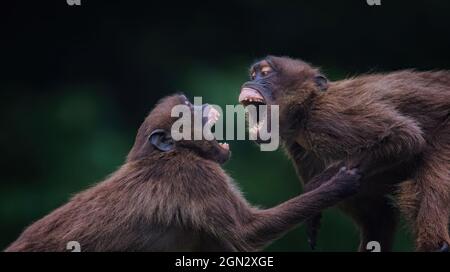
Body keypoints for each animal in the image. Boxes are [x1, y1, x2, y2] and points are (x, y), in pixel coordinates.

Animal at [5, 94, 360, 252]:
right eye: (188, 108)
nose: (203, 105)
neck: (168, 153)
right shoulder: (195, 175)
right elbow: (248, 232)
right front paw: (339, 184)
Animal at [239, 55, 450, 253]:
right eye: (253, 75)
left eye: (265, 73)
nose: (250, 82)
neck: (306, 109)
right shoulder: (298, 146)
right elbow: (378, 218)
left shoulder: (328, 117)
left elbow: (405, 137)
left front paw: (316, 186)